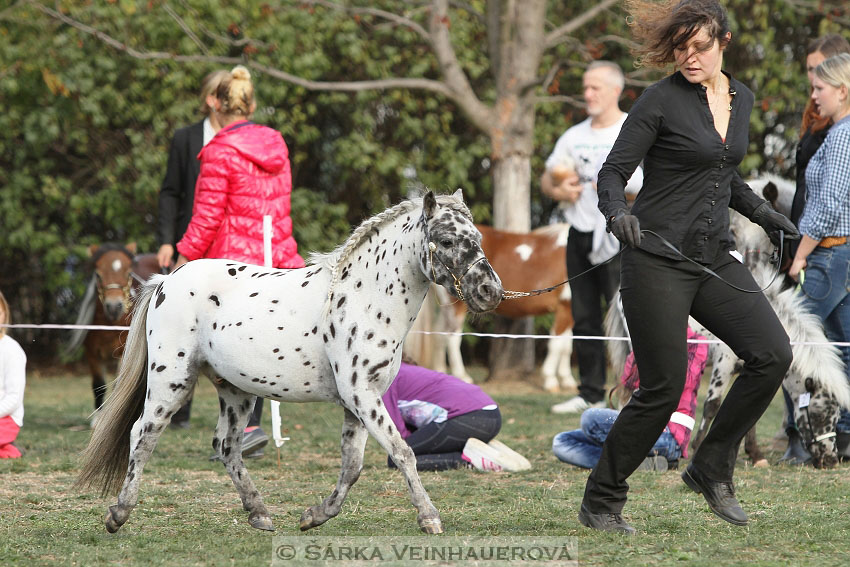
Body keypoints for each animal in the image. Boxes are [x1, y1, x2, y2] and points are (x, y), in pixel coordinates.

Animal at [65, 243, 160, 408]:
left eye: (129, 273)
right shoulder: (92, 354)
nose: (114, 306)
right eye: (98, 274)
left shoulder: (123, 354)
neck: (108, 327)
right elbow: (98, 386)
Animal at [76, 193, 500, 536]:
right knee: (142, 434)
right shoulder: (362, 395)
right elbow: (402, 452)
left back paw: (259, 513)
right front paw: (429, 518)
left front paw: (314, 516)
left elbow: (352, 466)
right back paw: (118, 514)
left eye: (478, 240)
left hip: (236, 391)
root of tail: (166, 281)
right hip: (171, 381)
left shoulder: (361, 400)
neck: (362, 298)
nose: (490, 292)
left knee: (226, 446)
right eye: (447, 240)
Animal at [416, 224, 572, 392]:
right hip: (456, 305)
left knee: (439, 335)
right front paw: (550, 381)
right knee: (452, 337)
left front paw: (567, 379)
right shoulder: (565, 306)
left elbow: (567, 346)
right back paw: (462, 376)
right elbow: (557, 344)